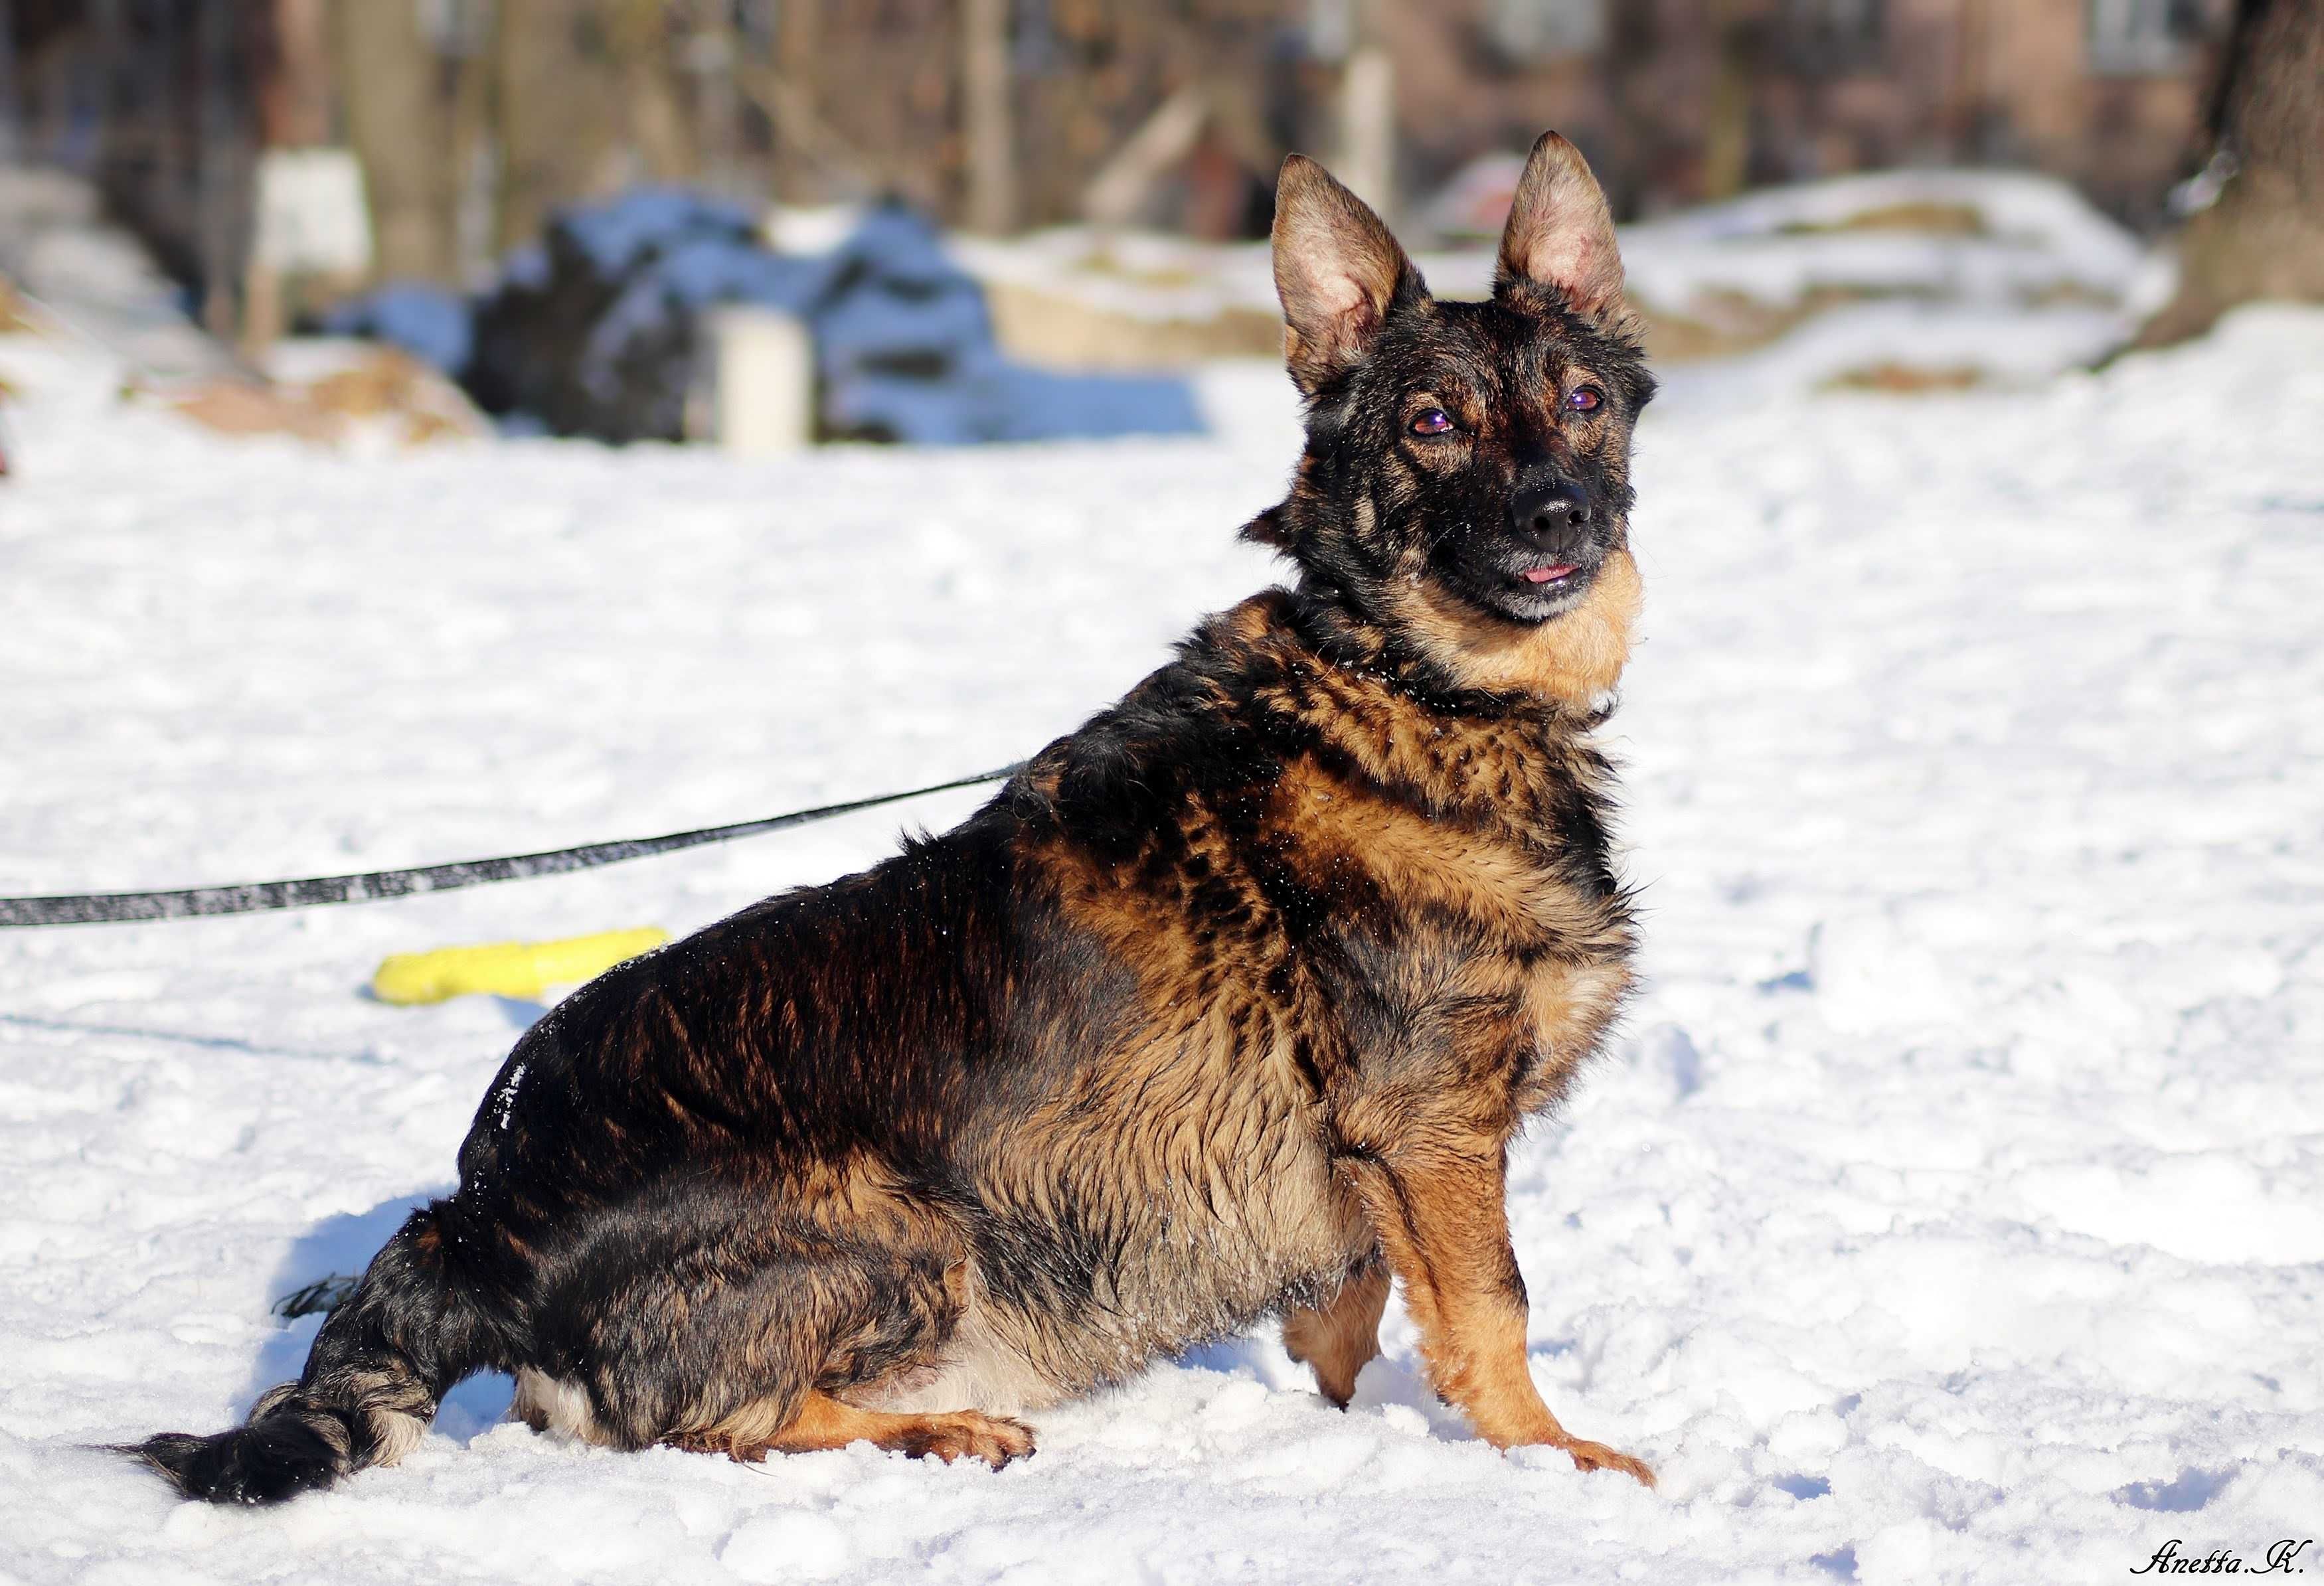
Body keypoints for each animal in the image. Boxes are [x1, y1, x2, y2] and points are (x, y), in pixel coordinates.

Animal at [127, 133, 1664, 1504]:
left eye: (1585, 399)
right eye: (1433, 425)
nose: (1559, 516)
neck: (1405, 686)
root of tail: (479, 1220)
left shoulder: (1374, 1167)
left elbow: (1346, 1312)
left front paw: (1356, 1419)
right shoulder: (1432, 1129)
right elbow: (1493, 1303)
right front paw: (1550, 1458)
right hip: (912, 1225)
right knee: (714, 1424)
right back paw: (942, 1428)